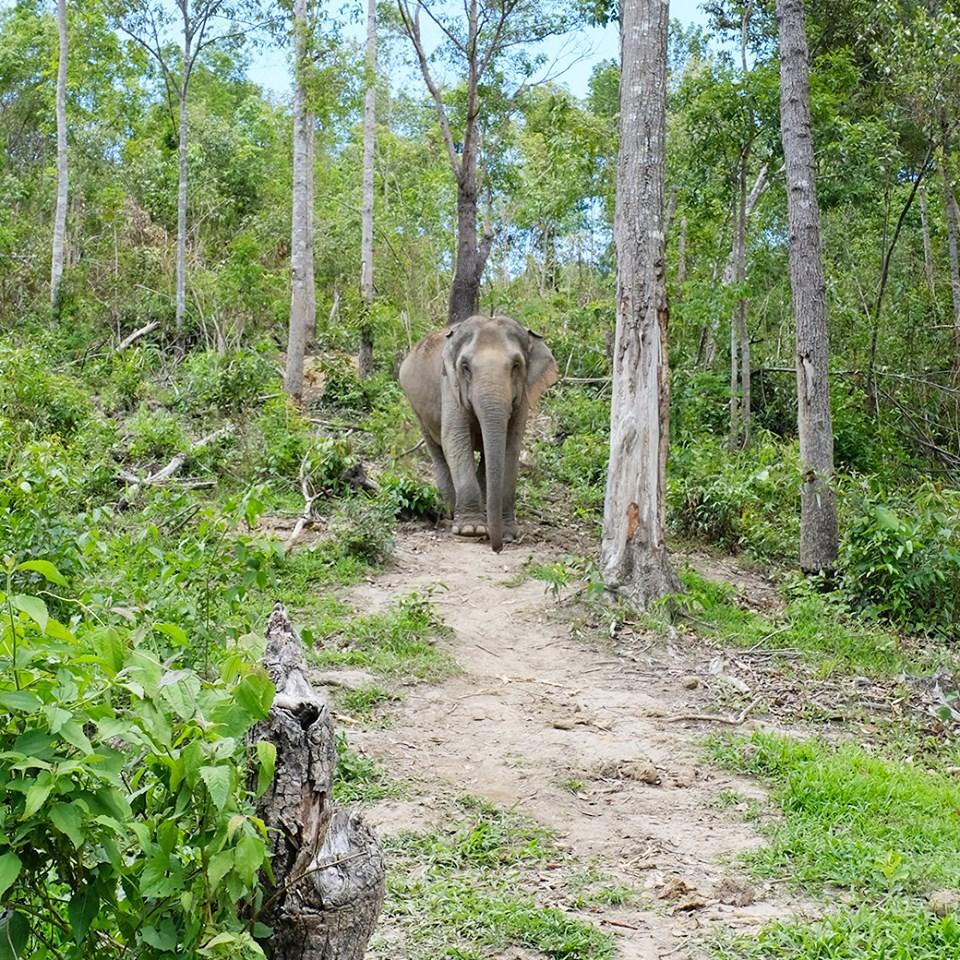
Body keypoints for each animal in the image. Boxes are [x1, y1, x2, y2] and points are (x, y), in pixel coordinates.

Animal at [399, 314, 558, 553]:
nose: (497, 548)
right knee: (438, 450)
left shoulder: (522, 398)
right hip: (417, 410)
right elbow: (455, 439)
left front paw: (507, 533)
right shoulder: (450, 386)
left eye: (516, 365)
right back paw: (450, 513)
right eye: (465, 367)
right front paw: (470, 530)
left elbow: (511, 447)